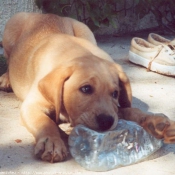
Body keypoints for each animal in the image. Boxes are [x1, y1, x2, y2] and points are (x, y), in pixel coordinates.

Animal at [0, 12, 175, 163]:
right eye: (86, 89)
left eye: (115, 93)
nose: (106, 122)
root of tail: (47, 14)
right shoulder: (31, 106)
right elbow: (45, 122)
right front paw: (53, 142)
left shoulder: (113, 109)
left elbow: (130, 110)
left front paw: (155, 121)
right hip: (10, 28)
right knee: (9, 59)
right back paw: (6, 79)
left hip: (85, 30)